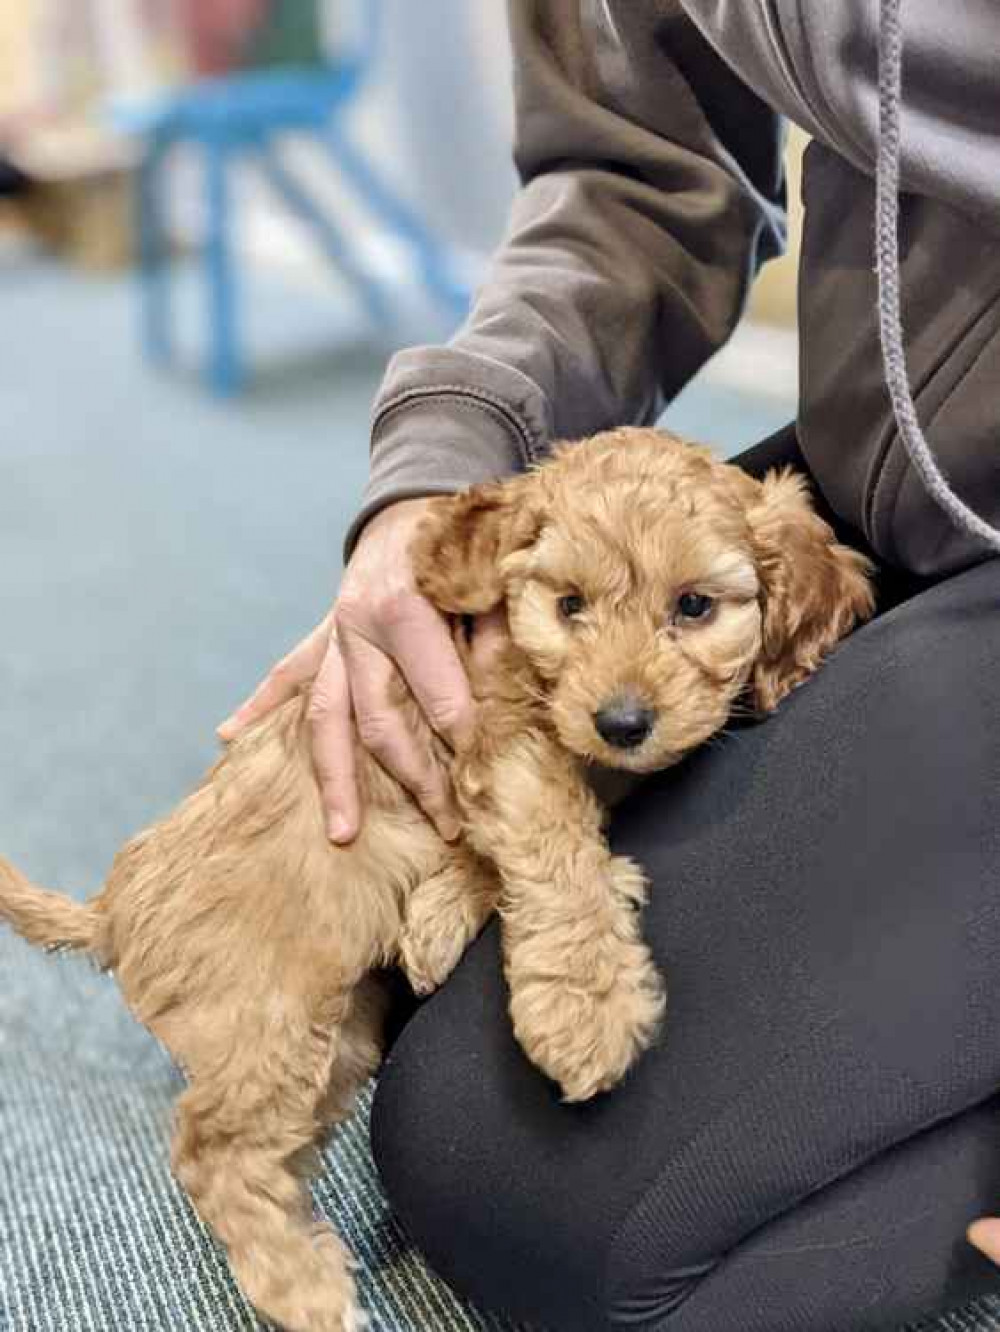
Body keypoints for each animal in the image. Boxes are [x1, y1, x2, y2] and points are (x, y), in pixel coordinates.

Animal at [0, 428, 873, 1332]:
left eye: (695, 606)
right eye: (570, 606)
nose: (622, 723)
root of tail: (107, 911)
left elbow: (502, 847)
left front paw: (444, 913)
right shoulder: (503, 739)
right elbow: (553, 845)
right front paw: (586, 1008)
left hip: (336, 1042)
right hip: (269, 1019)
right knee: (213, 1150)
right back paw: (307, 1291)